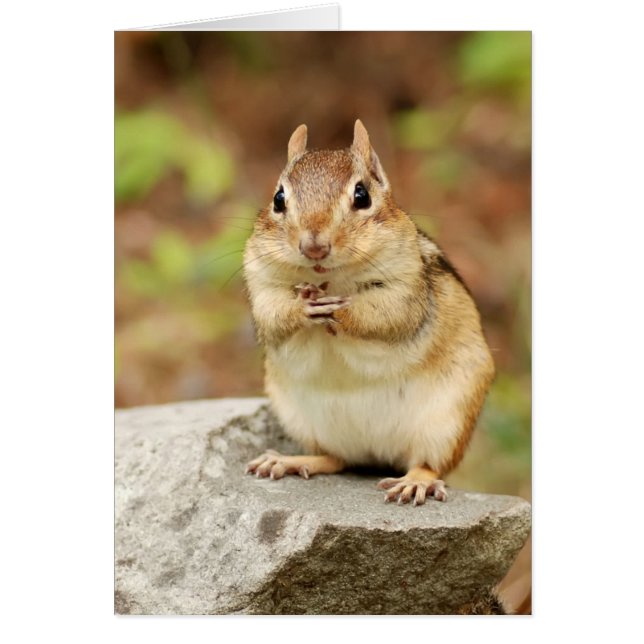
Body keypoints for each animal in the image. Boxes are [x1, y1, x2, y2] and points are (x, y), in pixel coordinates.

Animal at [243, 120, 495, 505]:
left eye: (362, 196)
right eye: (278, 199)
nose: (314, 247)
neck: (330, 279)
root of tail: (375, 455)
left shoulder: (405, 286)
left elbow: (386, 316)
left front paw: (343, 312)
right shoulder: (261, 281)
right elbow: (272, 315)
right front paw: (305, 307)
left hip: (447, 422)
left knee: (427, 463)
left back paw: (415, 482)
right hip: (302, 420)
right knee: (335, 459)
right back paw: (289, 460)